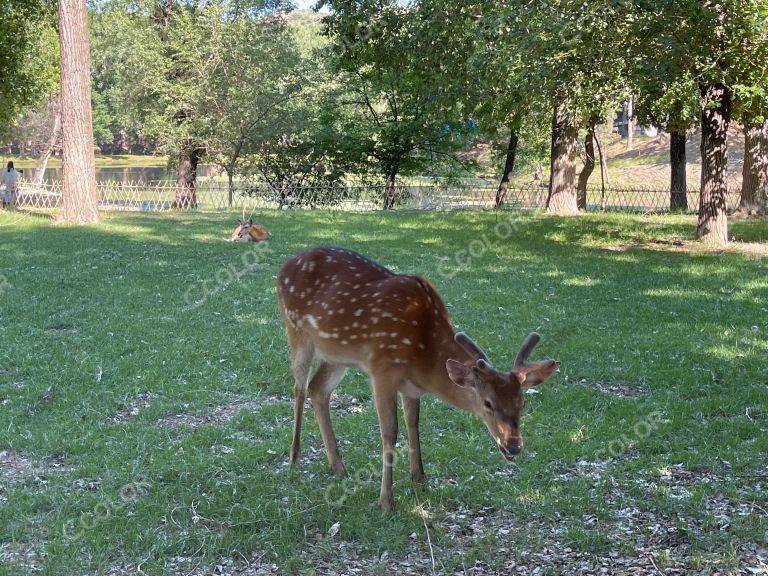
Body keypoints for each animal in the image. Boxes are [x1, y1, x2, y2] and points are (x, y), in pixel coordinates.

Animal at [276, 245, 560, 510]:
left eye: (523, 402)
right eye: (487, 403)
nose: (513, 445)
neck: (424, 356)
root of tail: (284, 266)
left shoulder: (410, 386)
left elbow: (413, 423)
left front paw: (420, 480)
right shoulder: (382, 368)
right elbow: (390, 432)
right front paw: (386, 502)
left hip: (336, 355)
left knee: (318, 389)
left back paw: (338, 467)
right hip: (295, 328)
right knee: (299, 387)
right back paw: (294, 455)